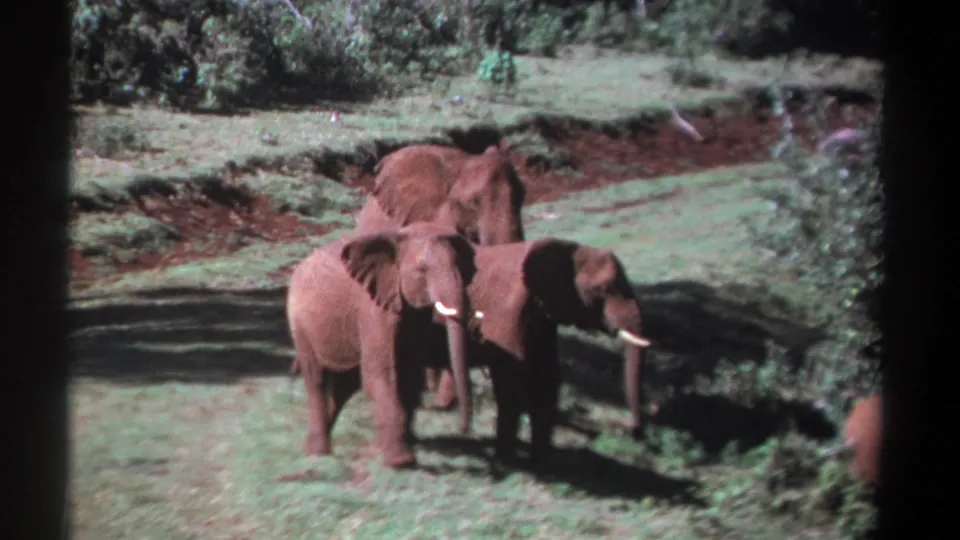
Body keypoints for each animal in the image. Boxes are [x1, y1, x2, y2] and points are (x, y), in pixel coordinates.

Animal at [285, 223, 482, 469]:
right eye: (422, 270)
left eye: (462, 269)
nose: (464, 430)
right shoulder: (372, 307)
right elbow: (381, 375)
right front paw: (401, 462)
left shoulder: (416, 315)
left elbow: (409, 374)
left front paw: (402, 450)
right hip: (300, 324)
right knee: (317, 380)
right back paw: (318, 454)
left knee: (345, 385)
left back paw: (312, 447)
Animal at [426, 238, 652, 466]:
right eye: (603, 289)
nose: (637, 432)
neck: (568, 249)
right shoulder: (507, 312)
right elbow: (511, 378)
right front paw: (508, 461)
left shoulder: (544, 319)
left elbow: (547, 378)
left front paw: (543, 463)